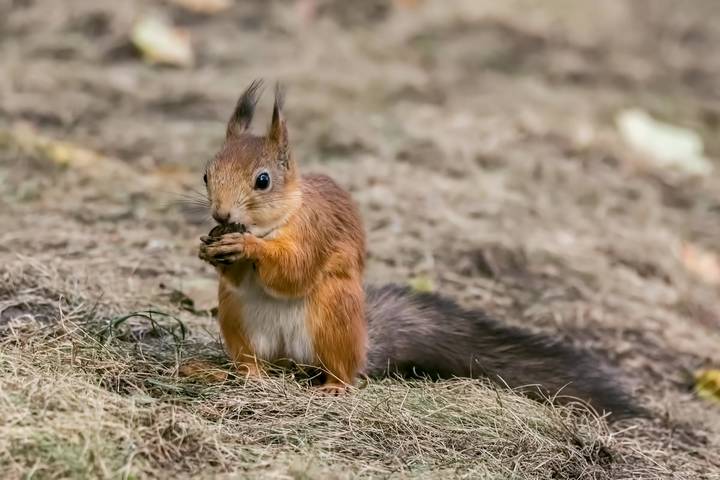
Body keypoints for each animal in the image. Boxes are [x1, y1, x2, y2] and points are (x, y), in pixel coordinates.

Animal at [198, 80, 642, 415]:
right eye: (206, 174)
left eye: (263, 181)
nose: (220, 214)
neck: (277, 220)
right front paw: (210, 248)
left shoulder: (317, 231)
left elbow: (295, 270)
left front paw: (248, 246)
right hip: (238, 319)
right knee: (252, 357)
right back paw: (245, 374)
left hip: (334, 314)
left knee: (341, 368)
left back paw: (334, 386)